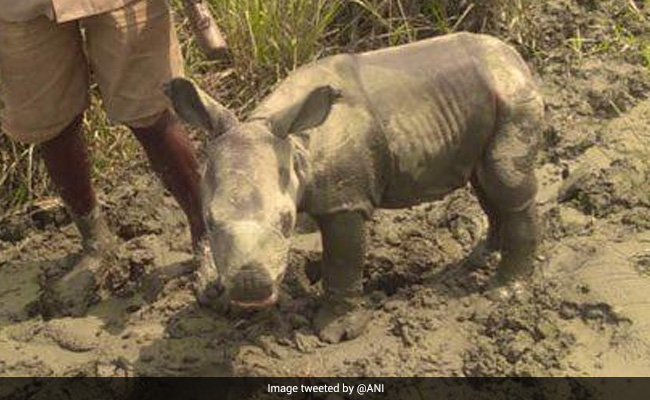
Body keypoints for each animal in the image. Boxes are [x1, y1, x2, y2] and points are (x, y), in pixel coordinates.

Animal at [165, 32, 544, 343]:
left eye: (287, 223)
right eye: (209, 222)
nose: (250, 287)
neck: (293, 144)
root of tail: (514, 57)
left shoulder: (345, 202)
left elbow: (343, 262)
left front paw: (336, 331)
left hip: (513, 96)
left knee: (504, 181)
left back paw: (502, 292)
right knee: (484, 183)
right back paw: (478, 258)